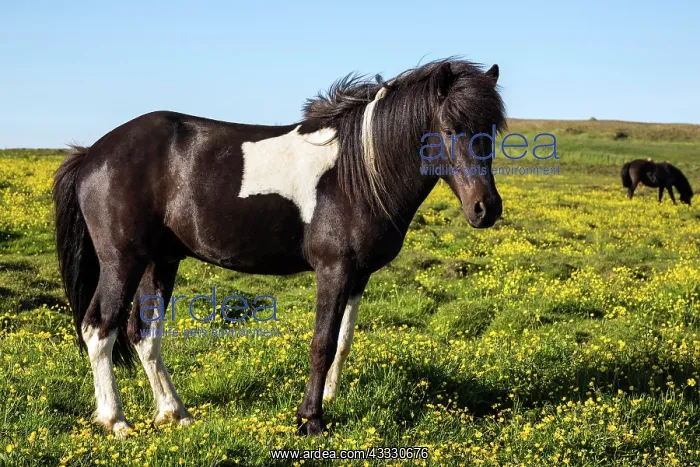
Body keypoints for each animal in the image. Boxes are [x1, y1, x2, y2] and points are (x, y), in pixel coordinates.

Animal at [53, 58, 506, 437]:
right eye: (450, 129)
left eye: (494, 130)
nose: (486, 209)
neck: (356, 173)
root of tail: (92, 154)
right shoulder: (334, 270)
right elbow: (321, 344)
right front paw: (310, 420)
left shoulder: (358, 276)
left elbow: (343, 341)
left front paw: (327, 399)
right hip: (122, 262)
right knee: (100, 328)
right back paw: (115, 421)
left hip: (160, 261)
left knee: (144, 333)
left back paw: (174, 413)